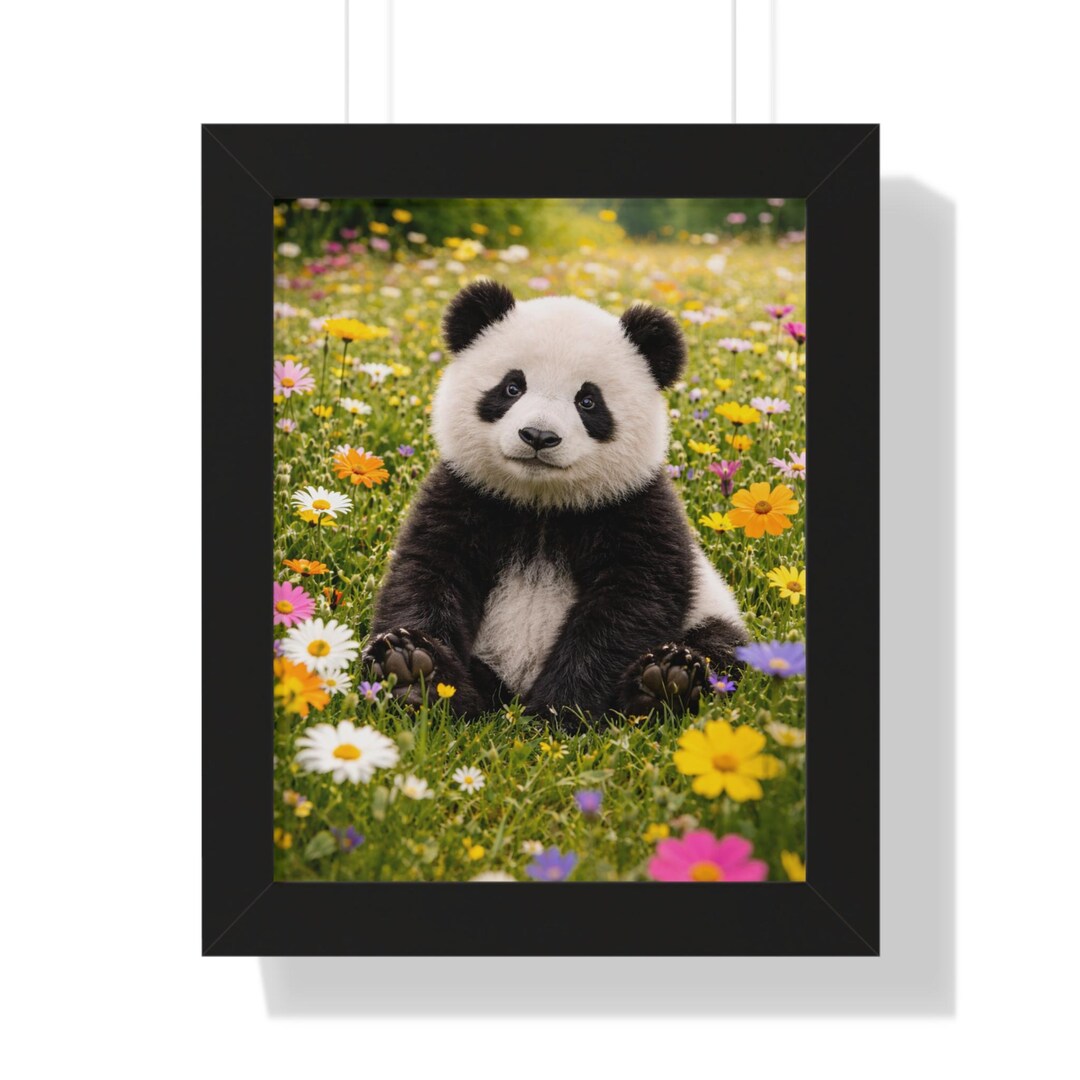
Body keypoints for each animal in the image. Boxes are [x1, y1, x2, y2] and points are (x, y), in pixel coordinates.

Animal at [363, 279, 748, 723]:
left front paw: (560, 713)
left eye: (588, 401)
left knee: (719, 645)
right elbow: (427, 578)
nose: (538, 436)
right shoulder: (465, 494)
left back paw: (666, 681)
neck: (541, 505)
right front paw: (420, 673)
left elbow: (629, 606)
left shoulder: (634, 508)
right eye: (512, 387)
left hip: (710, 610)